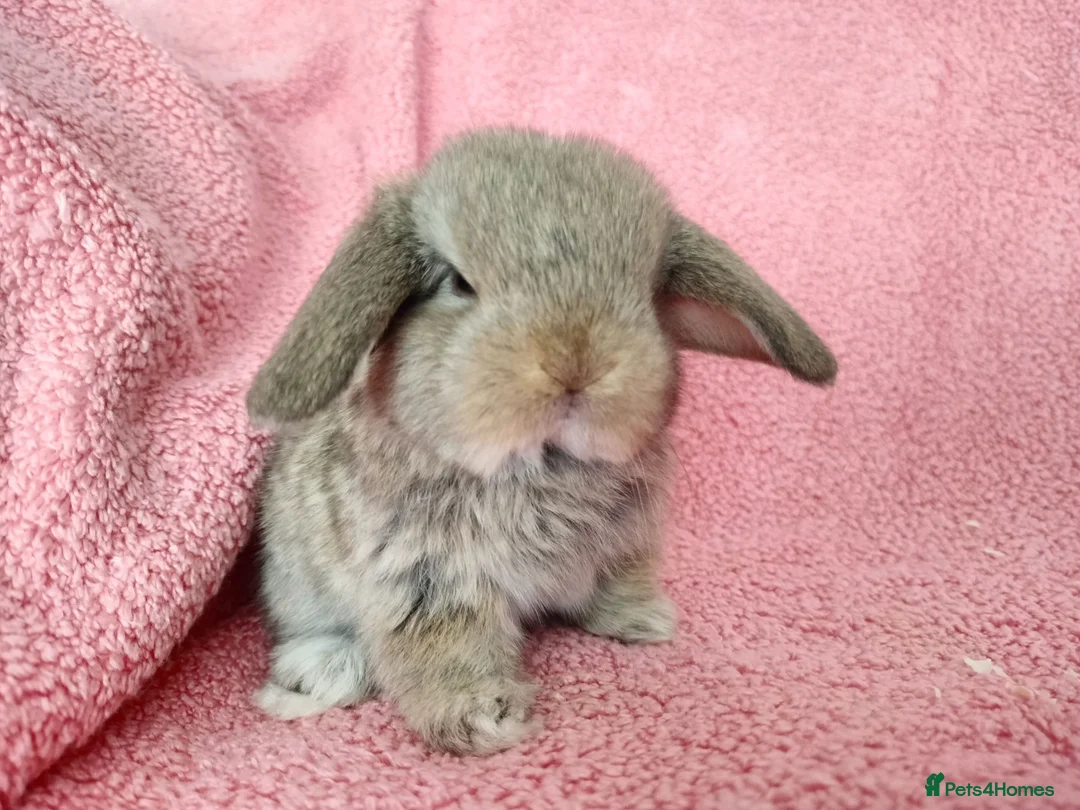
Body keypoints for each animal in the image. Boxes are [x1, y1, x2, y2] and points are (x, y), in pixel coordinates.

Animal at [246, 127, 836, 755]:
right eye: (459, 283)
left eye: (645, 291)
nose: (575, 364)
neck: (542, 461)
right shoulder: (427, 580)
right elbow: (445, 649)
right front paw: (485, 720)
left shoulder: (625, 545)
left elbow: (613, 586)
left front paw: (645, 620)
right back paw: (318, 672)